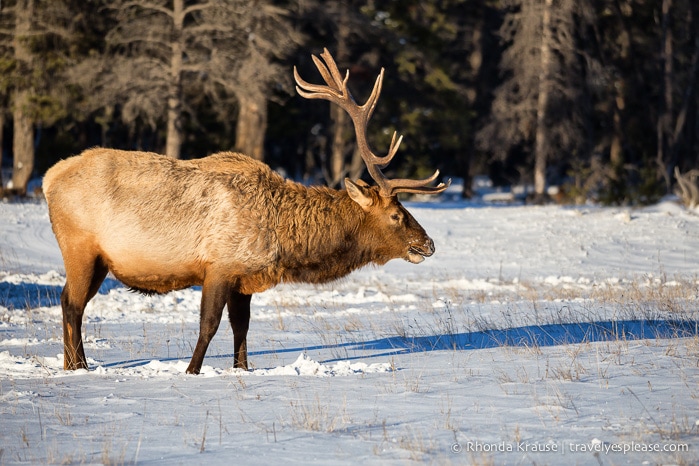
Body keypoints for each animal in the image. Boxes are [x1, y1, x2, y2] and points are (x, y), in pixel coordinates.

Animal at [43, 48, 452, 374]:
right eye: (397, 215)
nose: (428, 243)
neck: (283, 239)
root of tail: (48, 178)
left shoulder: (244, 278)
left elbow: (242, 327)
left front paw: (241, 368)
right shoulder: (219, 266)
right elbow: (208, 324)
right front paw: (191, 371)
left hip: (98, 259)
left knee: (71, 302)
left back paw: (73, 365)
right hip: (79, 247)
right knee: (71, 303)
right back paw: (78, 367)